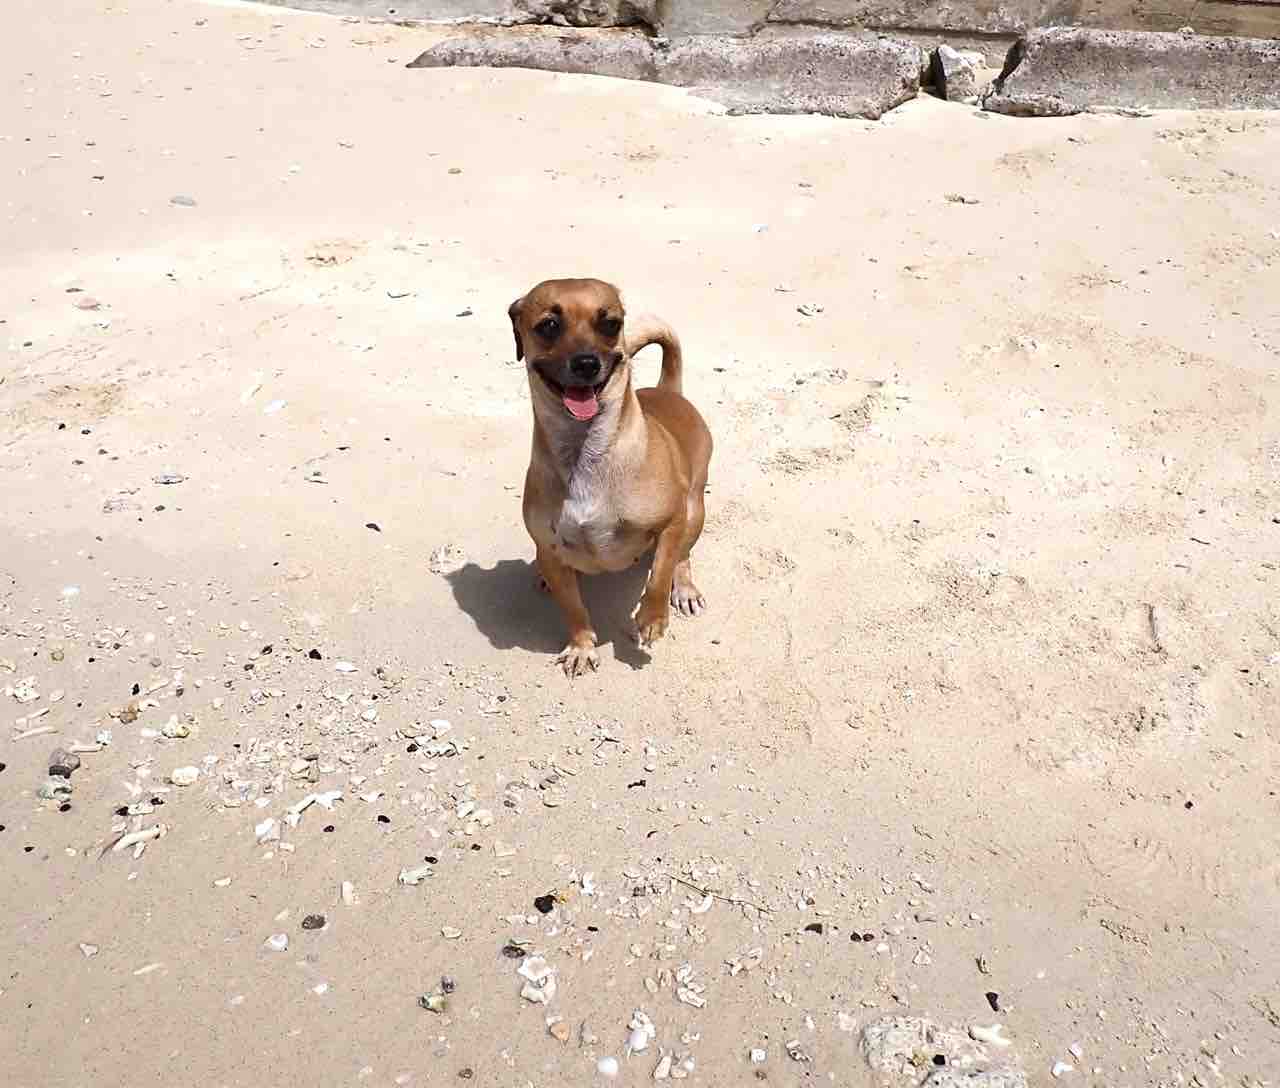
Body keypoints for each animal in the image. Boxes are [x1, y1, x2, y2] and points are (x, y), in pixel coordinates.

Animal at [508, 278, 712, 677]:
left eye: (610, 324)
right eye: (549, 325)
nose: (587, 363)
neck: (584, 452)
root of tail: (668, 390)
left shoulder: (672, 520)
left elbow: (660, 572)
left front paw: (652, 617)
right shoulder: (551, 550)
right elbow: (573, 608)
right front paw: (581, 646)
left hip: (695, 509)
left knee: (682, 555)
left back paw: (683, 588)